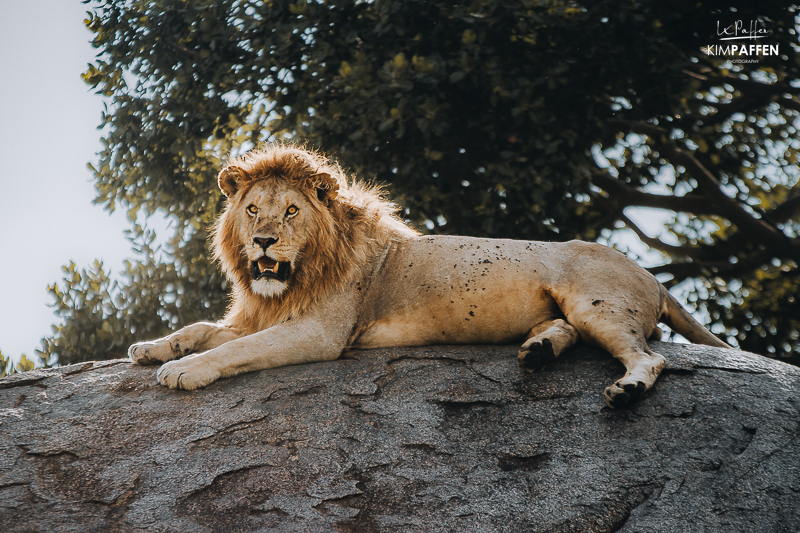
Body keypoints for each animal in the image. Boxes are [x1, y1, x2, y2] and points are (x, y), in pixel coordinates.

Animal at [126, 143, 732, 406]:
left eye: (292, 211)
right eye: (253, 210)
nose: (263, 241)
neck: (289, 281)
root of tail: (653, 277)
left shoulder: (320, 333)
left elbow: (232, 349)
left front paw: (185, 371)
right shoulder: (260, 312)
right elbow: (201, 329)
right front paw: (152, 348)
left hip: (597, 303)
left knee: (648, 356)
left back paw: (625, 390)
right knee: (568, 332)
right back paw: (537, 352)